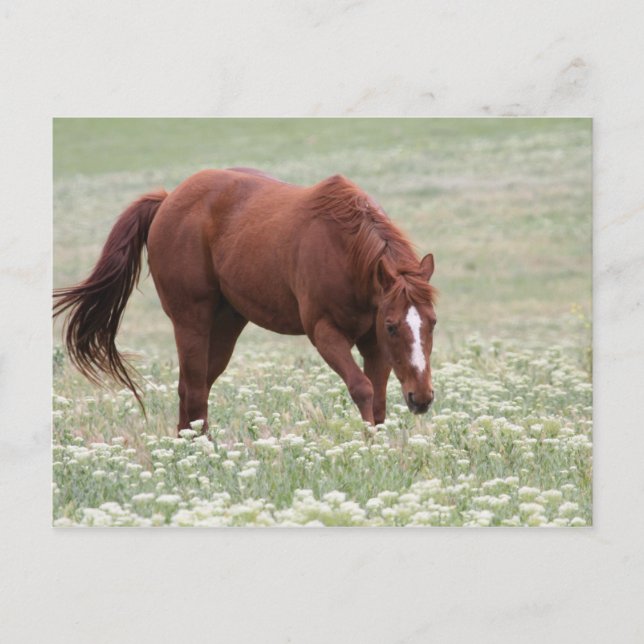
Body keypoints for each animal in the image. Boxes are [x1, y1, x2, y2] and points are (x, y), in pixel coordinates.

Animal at [53, 168, 438, 433]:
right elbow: (361, 388)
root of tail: (168, 199)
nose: (421, 398)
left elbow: (379, 400)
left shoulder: (373, 342)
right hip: (191, 322)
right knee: (194, 390)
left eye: (432, 322)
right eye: (393, 326)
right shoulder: (325, 333)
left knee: (194, 389)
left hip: (227, 324)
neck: (344, 249)